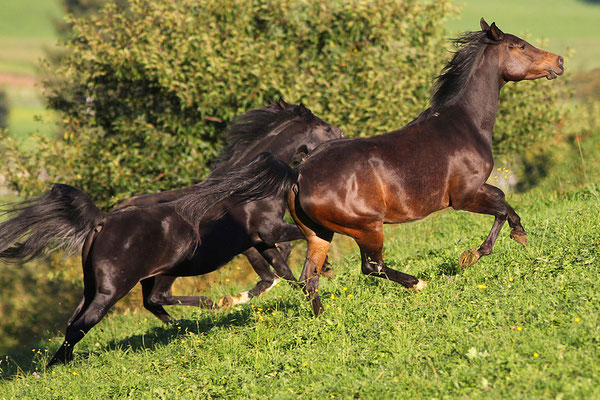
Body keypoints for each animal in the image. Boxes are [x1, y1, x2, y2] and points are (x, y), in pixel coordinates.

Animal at [0, 101, 342, 366]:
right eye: (324, 127)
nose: (340, 135)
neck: (247, 184)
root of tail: (102, 221)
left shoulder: (261, 240)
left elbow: (282, 270)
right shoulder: (268, 231)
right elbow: (291, 249)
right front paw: (322, 271)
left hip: (107, 283)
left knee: (111, 311)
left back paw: (182, 324)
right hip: (117, 287)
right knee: (89, 322)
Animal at [177, 19, 564, 316]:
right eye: (521, 46)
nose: (558, 61)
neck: (462, 123)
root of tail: (298, 174)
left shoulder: (472, 193)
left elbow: (503, 205)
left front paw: (498, 244)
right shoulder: (465, 195)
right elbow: (502, 206)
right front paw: (480, 253)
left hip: (319, 234)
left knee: (309, 277)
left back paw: (322, 320)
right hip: (366, 227)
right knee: (369, 266)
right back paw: (417, 283)